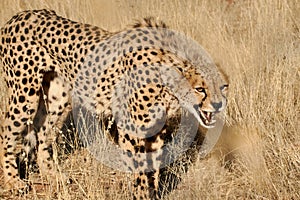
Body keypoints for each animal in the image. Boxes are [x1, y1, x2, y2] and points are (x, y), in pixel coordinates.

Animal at [0, 9, 229, 200]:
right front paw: (141, 195)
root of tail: (18, 17)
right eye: (200, 89)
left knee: (42, 134)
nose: (218, 105)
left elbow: (153, 168)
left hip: (58, 97)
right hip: (25, 96)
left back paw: (52, 176)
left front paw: (153, 193)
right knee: (6, 131)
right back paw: (13, 182)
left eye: (224, 87)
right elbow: (138, 169)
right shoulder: (130, 128)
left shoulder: (157, 130)